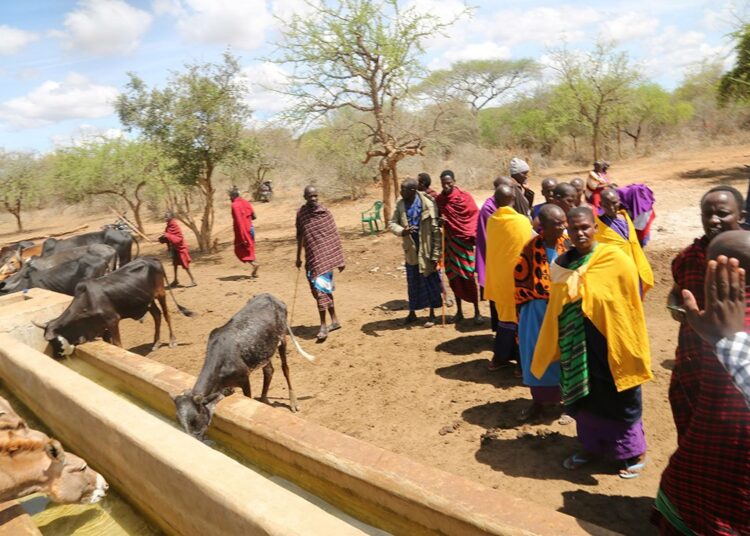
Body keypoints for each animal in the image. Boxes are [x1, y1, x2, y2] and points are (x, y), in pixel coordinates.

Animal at [35, 256, 194, 360]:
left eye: (55, 342)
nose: (57, 357)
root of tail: (153, 259)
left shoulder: (112, 321)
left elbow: (118, 345)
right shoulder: (101, 327)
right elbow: (109, 343)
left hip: (161, 293)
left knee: (166, 315)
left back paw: (172, 341)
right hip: (146, 300)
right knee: (157, 315)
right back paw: (156, 343)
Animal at [173, 294, 314, 440]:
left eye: (194, 420)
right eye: (179, 420)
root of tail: (271, 296)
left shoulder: (244, 378)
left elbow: (248, 397)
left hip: (282, 339)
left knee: (285, 368)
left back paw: (293, 402)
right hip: (265, 350)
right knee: (269, 370)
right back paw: (263, 399)